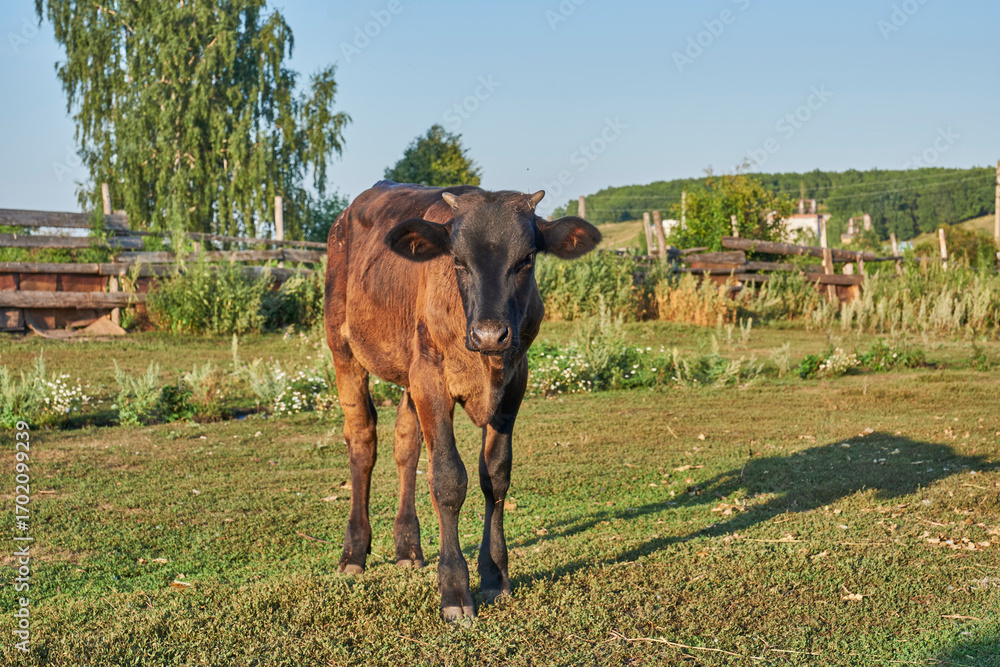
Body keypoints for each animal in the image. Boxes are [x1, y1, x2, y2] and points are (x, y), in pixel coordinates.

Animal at [324, 180, 600, 620]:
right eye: (457, 259)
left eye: (526, 259)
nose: (490, 334)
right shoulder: (431, 379)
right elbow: (448, 479)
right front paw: (454, 589)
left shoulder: (514, 382)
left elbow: (495, 475)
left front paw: (494, 575)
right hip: (343, 346)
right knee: (363, 441)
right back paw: (353, 552)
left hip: (408, 371)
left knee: (406, 444)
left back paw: (408, 547)